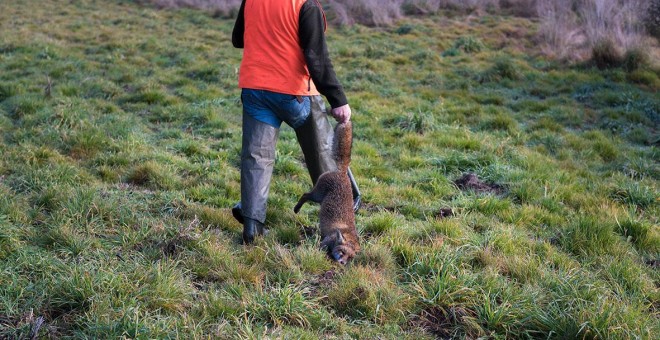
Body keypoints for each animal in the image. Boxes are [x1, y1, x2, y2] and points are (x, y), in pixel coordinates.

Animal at [294, 121, 360, 264]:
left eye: (349, 258)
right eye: (342, 252)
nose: (342, 263)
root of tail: (342, 173)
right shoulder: (325, 242)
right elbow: (322, 249)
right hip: (317, 195)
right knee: (305, 195)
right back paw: (296, 209)